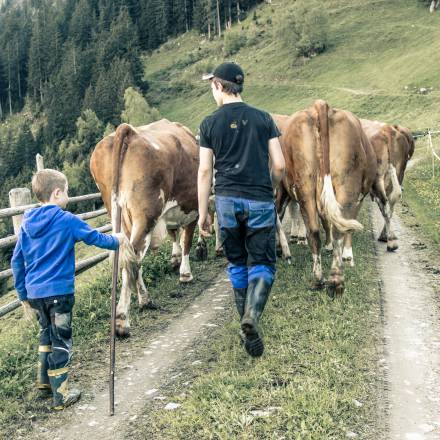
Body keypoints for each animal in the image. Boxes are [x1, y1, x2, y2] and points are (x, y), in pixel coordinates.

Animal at [91, 118, 205, 336]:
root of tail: (127, 130)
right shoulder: (192, 207)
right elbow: (186, 239)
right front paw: (186, 273)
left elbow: (174, 233)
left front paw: (175, 259)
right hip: (145, 217)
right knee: (132, 259)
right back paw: (123, 319)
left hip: (118, 213)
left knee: (127, 256)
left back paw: (144, 300)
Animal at [274, 101, 376, 298]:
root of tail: (321, 105)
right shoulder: (357, 198)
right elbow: (344, 226)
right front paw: (347, 255)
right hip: (345, 185)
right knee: (335, 229)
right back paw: (335, 281)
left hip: (305, 184)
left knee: (312, 229)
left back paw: (319, 278)